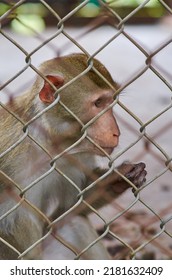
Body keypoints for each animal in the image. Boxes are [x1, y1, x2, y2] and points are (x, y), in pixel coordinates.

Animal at [0, 53, 146, 260]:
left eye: (110, 102)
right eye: (98, 103)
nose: (115, 133)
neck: (47, 143)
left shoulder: (76, 156)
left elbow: (73, 204)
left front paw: (119, 178)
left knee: (74, 223)